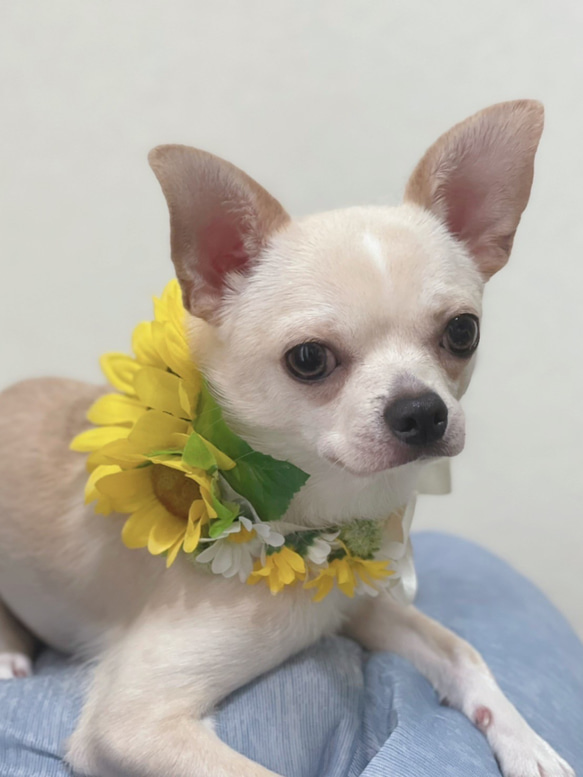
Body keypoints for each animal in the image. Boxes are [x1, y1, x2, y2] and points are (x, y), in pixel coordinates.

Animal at [0, 101, 576, 776]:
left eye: (463, 332)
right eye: (307, 359)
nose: (422, 411)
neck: (316, 511)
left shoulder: (362, 606)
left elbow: (463, 653)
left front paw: (528, 742)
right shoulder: (130, 723)